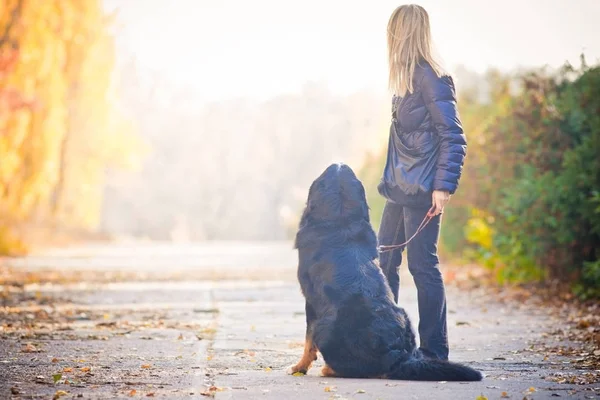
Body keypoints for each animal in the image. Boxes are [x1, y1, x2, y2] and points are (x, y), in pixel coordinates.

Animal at [288, 162, 482, 382]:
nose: (339, 163)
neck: (341, 222)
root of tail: (396, 355)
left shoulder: (311, 303)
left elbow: (308, 341)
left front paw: (299, 367)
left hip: (326, 327)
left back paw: (329, 369)